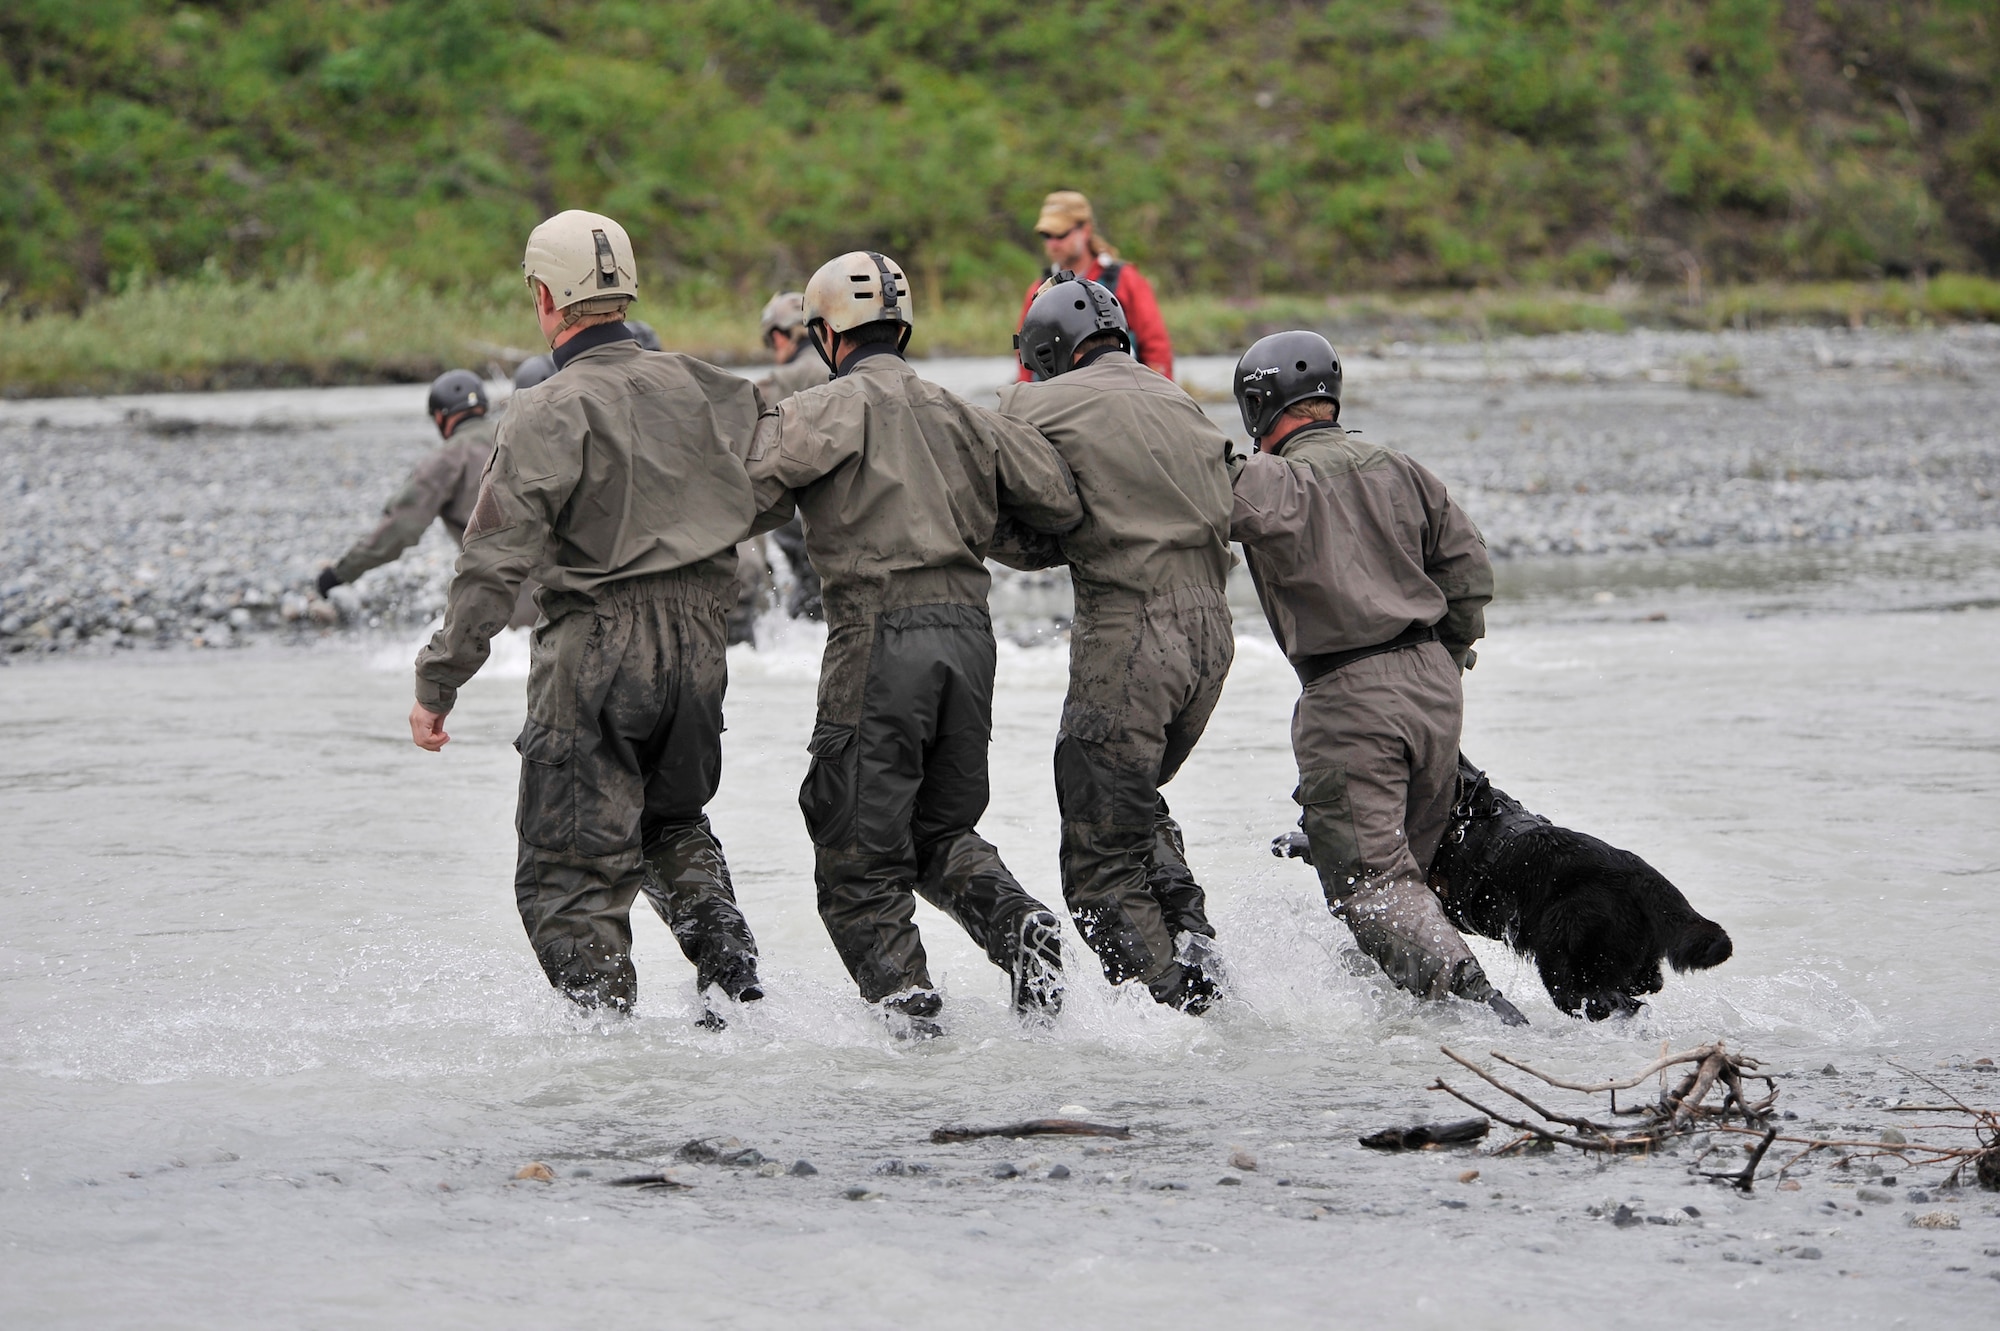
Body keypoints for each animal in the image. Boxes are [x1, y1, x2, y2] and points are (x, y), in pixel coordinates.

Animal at [1280, 755, 1736, 1015]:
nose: (1301, 799)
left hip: (1561, 948)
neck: (1463, 808)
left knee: (1593, 996)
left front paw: (1298, 841)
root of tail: (1640, 874)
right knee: (1646, 984)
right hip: (1626, 955)